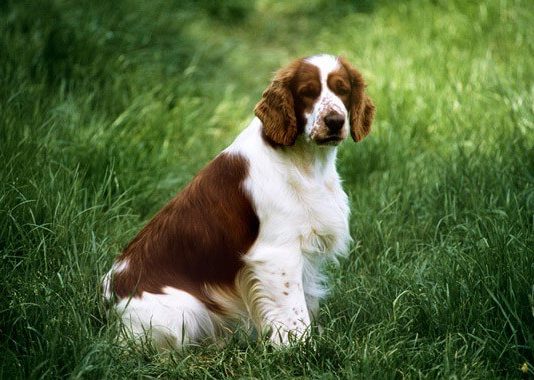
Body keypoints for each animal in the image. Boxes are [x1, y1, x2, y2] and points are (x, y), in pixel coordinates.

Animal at [103, 55, 376, 348]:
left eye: (343, 89)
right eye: (307, 92)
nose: (334, 121)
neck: (305, 163)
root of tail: (106, 302)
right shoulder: (277, 254)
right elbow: (294, 313)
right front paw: (301, 349)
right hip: (184, 310)